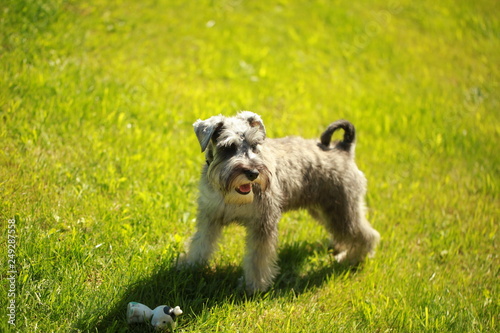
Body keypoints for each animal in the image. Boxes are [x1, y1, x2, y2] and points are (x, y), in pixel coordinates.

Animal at [182, 111, 380, 290]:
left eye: (255, 145)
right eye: (228, 146)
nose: (253, 173)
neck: (231, 194)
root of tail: (343, 148)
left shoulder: (262, 223)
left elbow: (258, 258)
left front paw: (254, 286)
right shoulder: (209, 217)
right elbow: (201, 242)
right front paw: (191, 267)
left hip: (342, 209)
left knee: (365, 235)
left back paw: (352, 258)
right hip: (325, 210)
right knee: (344, 232)